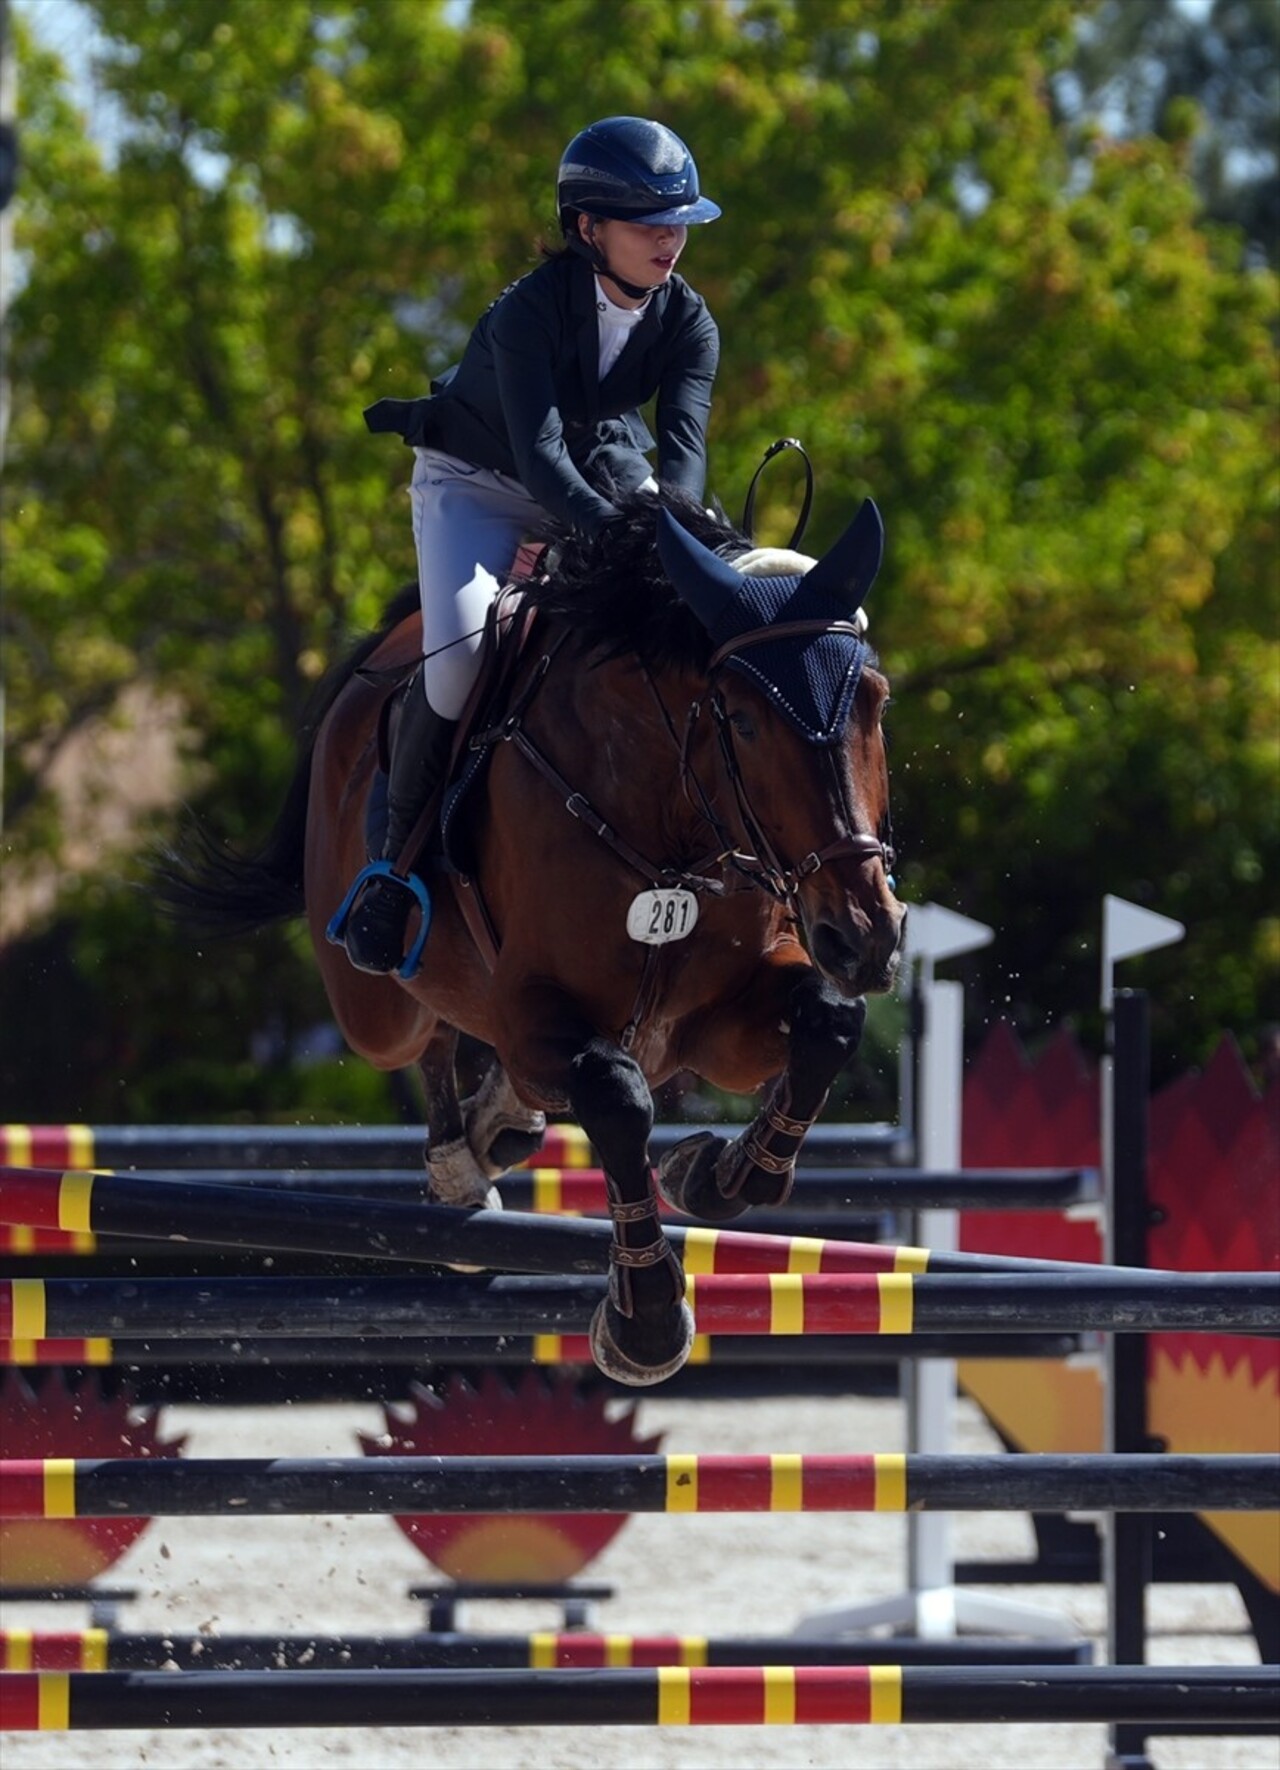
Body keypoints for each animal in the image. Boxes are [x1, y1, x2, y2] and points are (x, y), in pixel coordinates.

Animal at [169, 492, 906, 1387]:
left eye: (875, 701)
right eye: (743, 720)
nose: (865, 935)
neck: (667, 831)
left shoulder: (712, 1025)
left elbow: (828, 1023)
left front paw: (720, 1173)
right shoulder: (536, 1014)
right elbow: (616, 1096)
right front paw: (646, 1323)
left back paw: (499, 1128)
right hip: (376, 1009)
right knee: (427, 1037)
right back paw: (459, 1162)